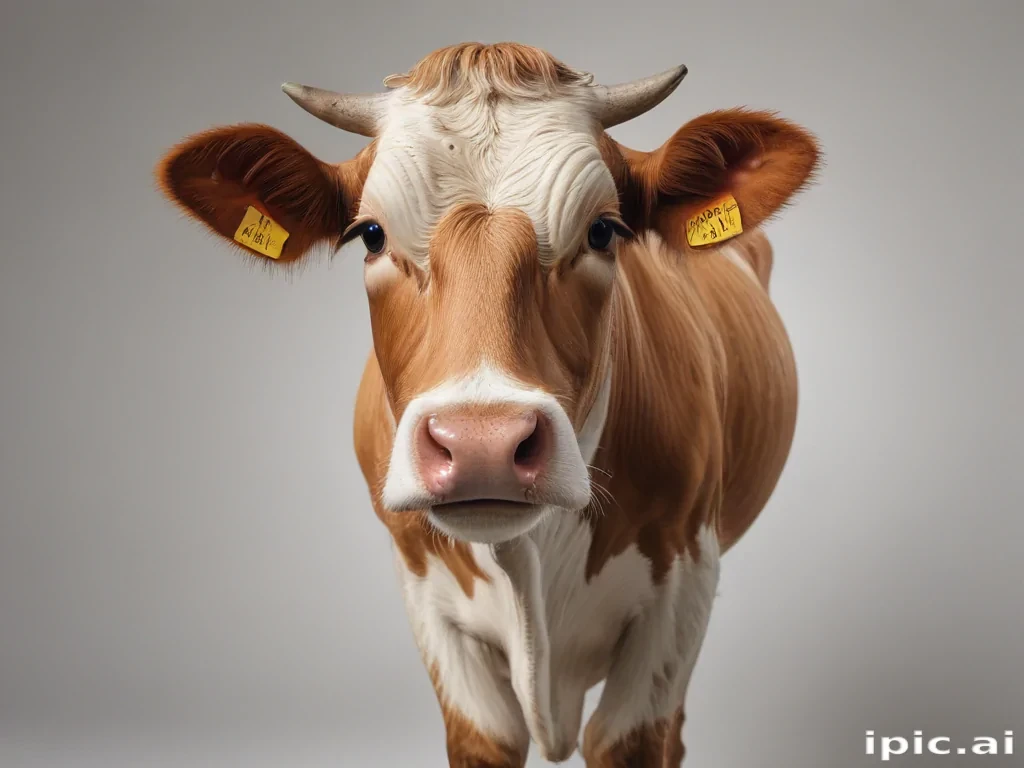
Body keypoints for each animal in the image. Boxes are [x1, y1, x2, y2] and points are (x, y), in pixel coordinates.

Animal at [155, 42, 819, 767]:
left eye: (604, 230)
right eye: (370, 234)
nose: (482, 445)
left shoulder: (684, 583)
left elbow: (633, 738)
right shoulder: (425, 594)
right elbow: (488, 734)